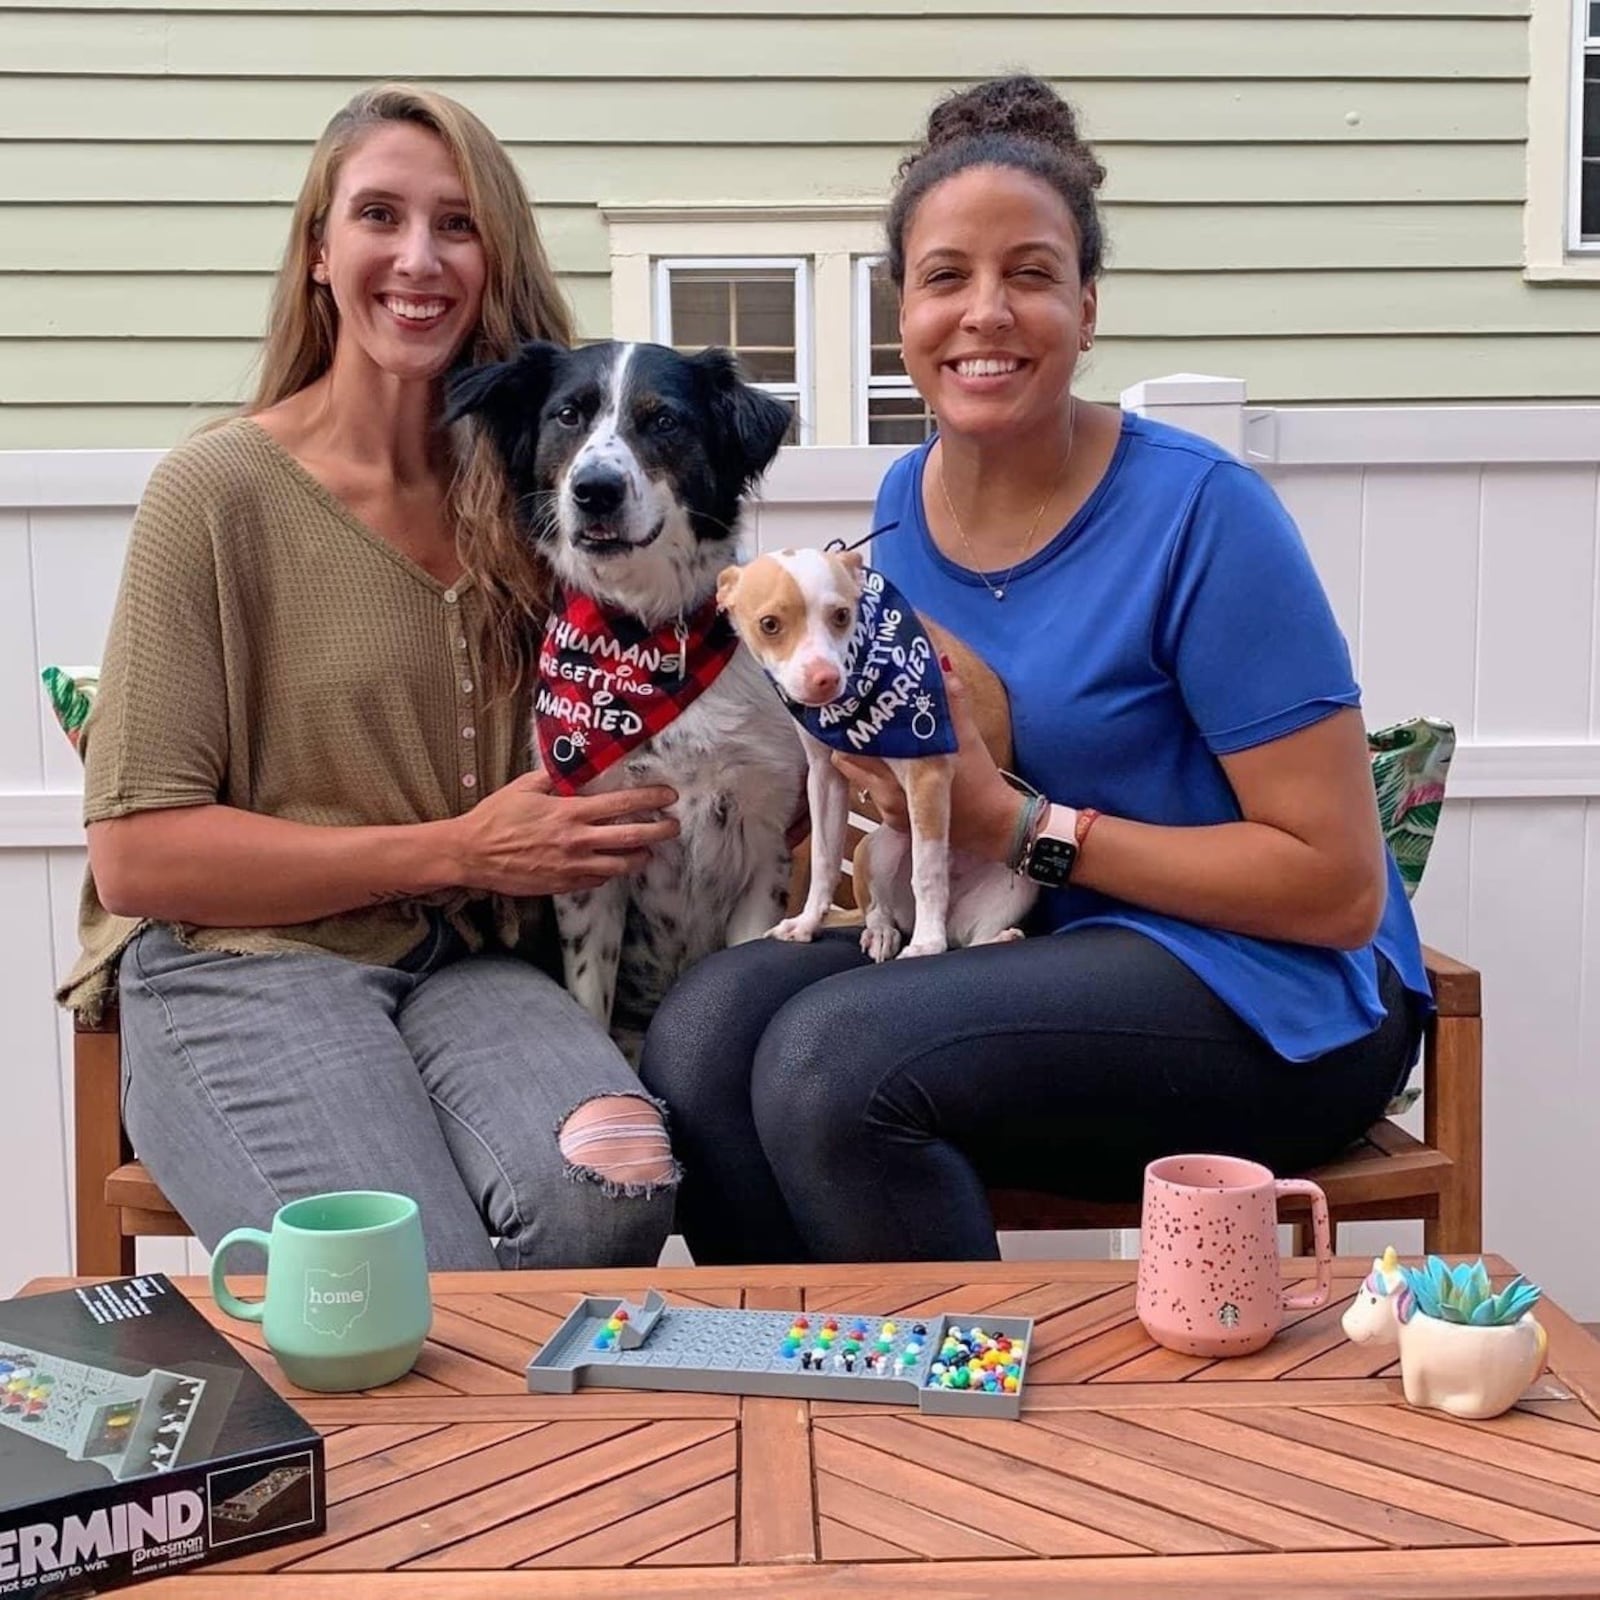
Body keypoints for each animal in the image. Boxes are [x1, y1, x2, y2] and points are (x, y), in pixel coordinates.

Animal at [448, 344, 800, 1056]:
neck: (645, 636)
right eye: (567, 415)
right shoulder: (590, 861)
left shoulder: (763, 844)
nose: (595, 490)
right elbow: (591, 994)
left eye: (663, 420)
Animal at [716, 544, 1036, 953]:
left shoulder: (926, 776)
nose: (825, 678)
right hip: (875, 850)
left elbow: (927, 874)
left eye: (841, 616)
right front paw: (807, 922)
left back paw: (983, 936)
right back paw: (883, 932)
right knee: (879, 909)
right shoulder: (825, 778)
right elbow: (824, 859)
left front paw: (927, 944)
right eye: (769, 624)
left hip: (1021, 875)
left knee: (970, 936)